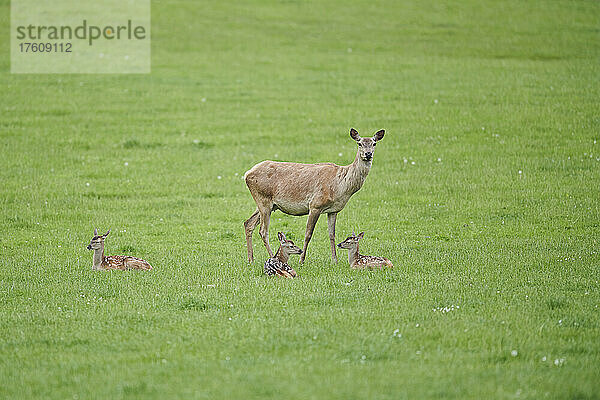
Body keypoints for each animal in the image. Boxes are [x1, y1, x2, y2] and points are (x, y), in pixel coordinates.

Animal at [243, 128, 384, 264]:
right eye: (359, 143)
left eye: (374, 143)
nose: (368, 154)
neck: (340, 186)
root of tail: (247, 174)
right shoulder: (315, 205)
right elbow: (308, 234)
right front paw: (301, 260)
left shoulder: (333, 210)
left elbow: (332, 234)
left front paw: (335, 260)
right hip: (263, 200)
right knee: (263, 231)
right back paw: (272, 257)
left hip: (269, 204)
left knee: (248, 223)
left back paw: (251, 259)